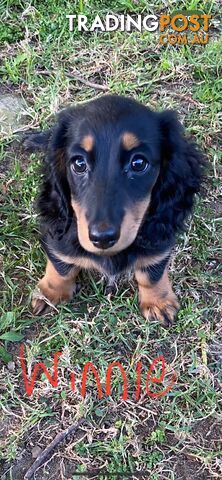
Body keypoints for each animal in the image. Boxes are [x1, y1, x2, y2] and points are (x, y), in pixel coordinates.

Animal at [24, 94, 203, 326]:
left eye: (138, 163)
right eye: (79, 163)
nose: (102, 238)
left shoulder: (158, 237)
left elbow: (152, 271)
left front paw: (158, 301)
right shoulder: (58, 237)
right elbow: (61, 266)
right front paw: (50, 292)